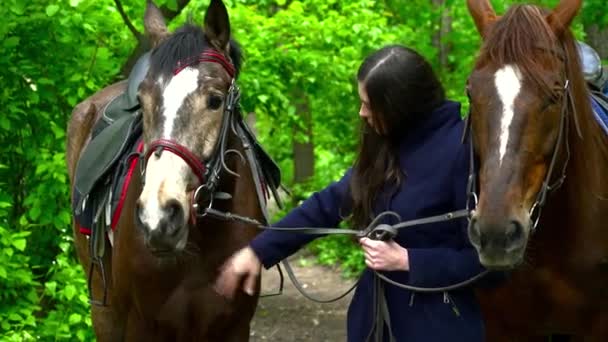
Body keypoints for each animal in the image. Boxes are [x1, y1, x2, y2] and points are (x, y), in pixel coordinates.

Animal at [66, 1, 266, 340]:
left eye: (215, 100)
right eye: (143, 101)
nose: (158, 217)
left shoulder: (236, 325)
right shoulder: (141, 325)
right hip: (104, 309)